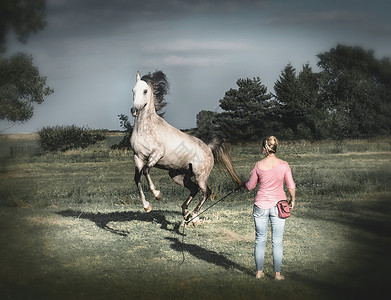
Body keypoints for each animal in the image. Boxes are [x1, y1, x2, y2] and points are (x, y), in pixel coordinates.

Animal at [131, 70, 242, 225]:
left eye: (145, 90)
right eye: (133, 90)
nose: (134, 110)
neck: (145, 129)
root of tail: (208, 147)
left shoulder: (156, 154)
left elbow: (146, 171)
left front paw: (157, 194)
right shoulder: (138, 157)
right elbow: (137, 178)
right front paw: (147, 206)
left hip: (200, 175)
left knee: (206, 192)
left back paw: (194, 217)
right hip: (178, 176)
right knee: (194, 189)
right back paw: (185, 213)